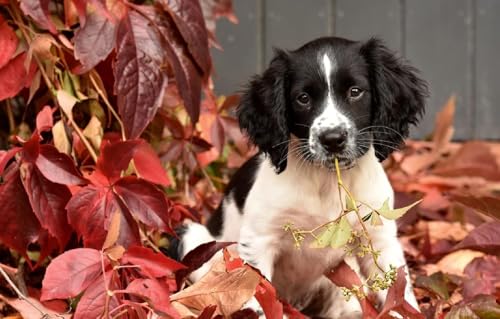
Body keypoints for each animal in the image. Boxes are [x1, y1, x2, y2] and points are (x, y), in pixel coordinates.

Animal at [178, 36, 428, 318]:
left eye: (355, 91)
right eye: (303, 98)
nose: (332, 139)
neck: (327, 180)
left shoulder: (379, 238)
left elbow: (399, 295)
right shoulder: (259, 239)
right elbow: (258, 291)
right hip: (194, 237)